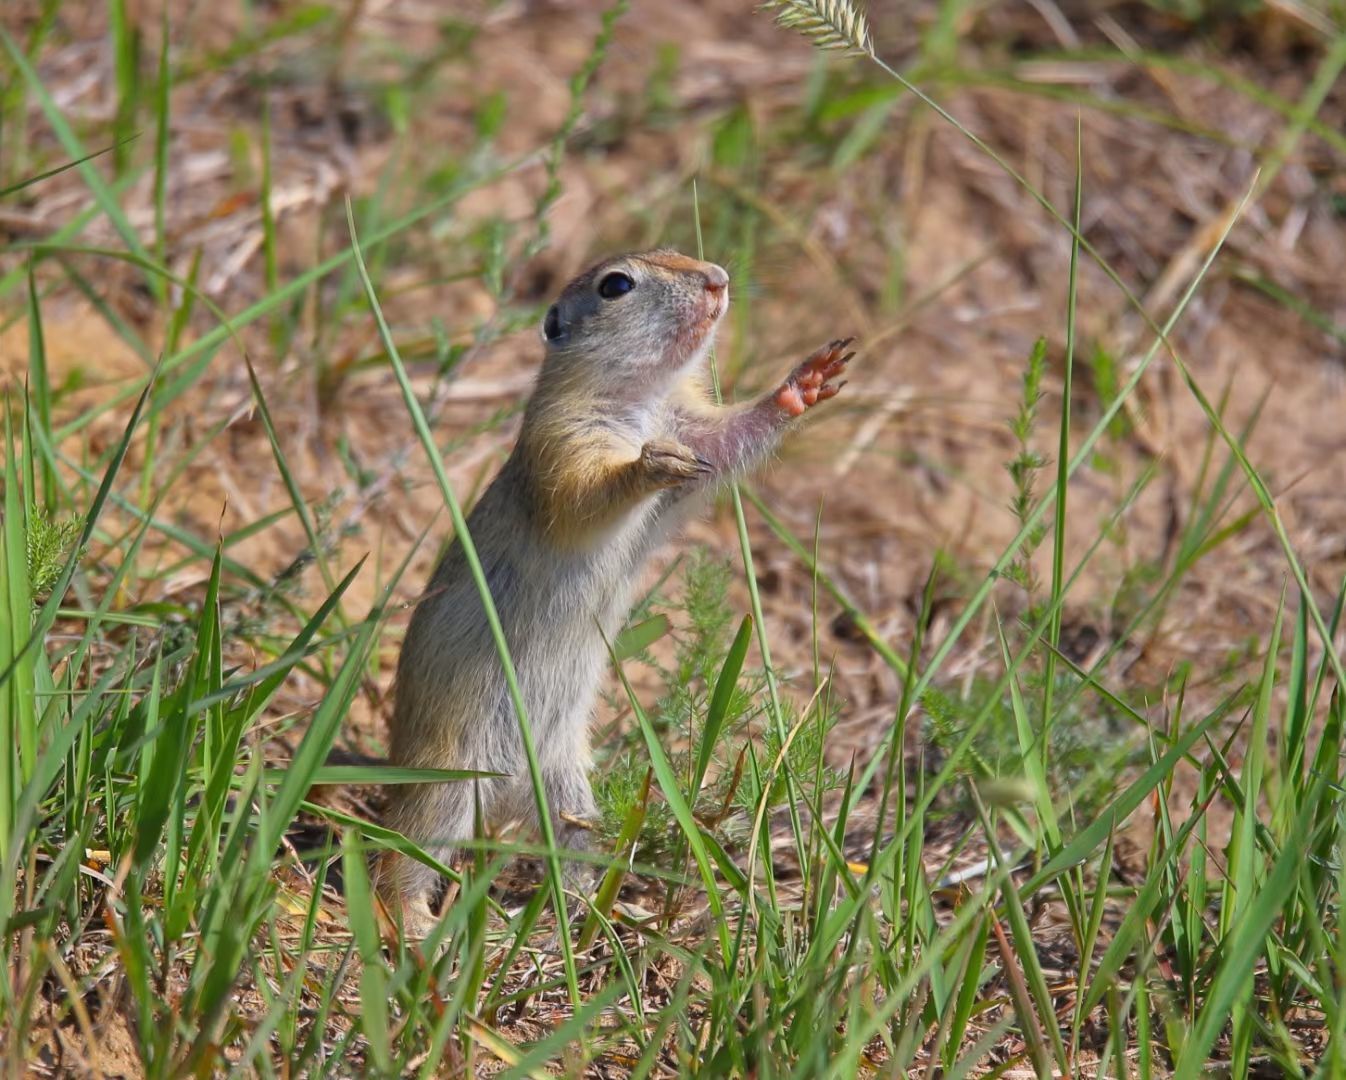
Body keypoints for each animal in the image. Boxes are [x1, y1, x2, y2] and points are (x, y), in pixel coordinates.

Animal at [376, 247, 850, 931]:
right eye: (616, 284)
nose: (718, 278)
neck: (640, 399)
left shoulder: (693, 428)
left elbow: (728, 440)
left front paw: (805, 382)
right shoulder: (564, 442)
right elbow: (585, 496)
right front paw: (649, 465)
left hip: (568, 788)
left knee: (570, 840)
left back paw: (582, 907)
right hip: (447, 784)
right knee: (402, 857)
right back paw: (414, 924)